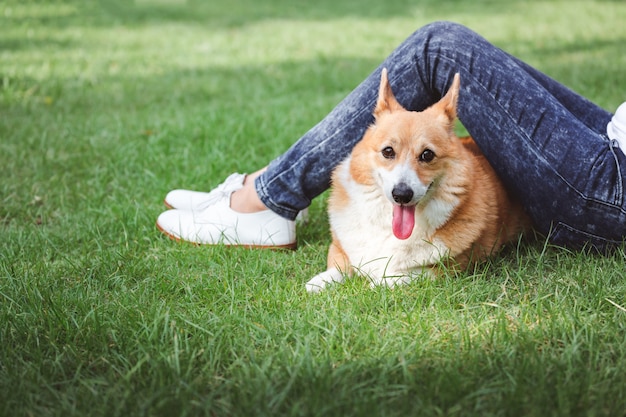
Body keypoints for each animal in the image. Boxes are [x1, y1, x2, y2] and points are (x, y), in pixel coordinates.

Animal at [304, 68, 528, 290]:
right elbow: (340, 266)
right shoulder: (341, 247)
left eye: (427, 155)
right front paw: (320, 282)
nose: (401, 195)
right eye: (388, 151)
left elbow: (400, 275)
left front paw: (374, 283)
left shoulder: (444, 270)